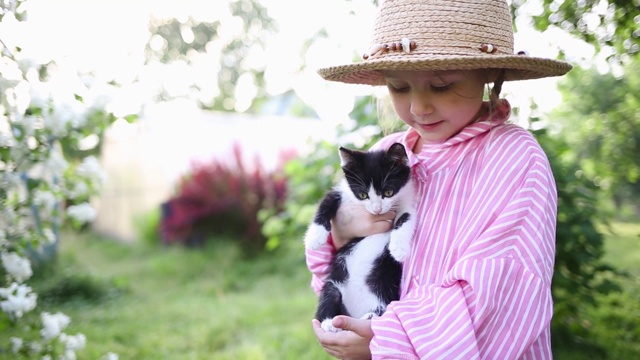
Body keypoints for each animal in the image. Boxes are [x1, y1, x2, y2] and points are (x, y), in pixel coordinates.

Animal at [304, 143, 416, 332]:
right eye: (363, 195)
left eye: (388, 192)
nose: (377, 209)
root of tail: (353, 314)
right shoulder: (342, 192)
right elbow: (326, 203)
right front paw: (315, 237)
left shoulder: (408, 203)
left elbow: (406, 219)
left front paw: (398, 248)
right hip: (333, 286)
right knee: (328, 298)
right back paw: (329, 323)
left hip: (383, 296)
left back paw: (369, 317)